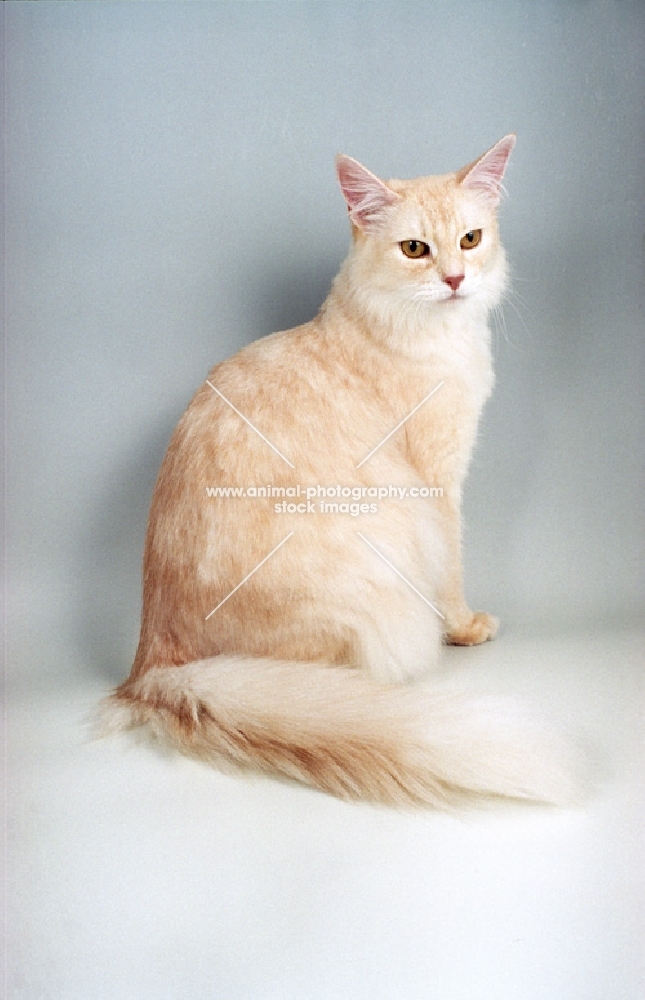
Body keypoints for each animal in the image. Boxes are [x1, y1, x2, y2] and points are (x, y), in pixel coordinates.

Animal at [102, 137, 580, 804]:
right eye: (415, 249)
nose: (456, 280)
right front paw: (463, 627)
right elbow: (452, 568)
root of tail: (152, 668)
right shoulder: (439, 486)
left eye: (470, 239)